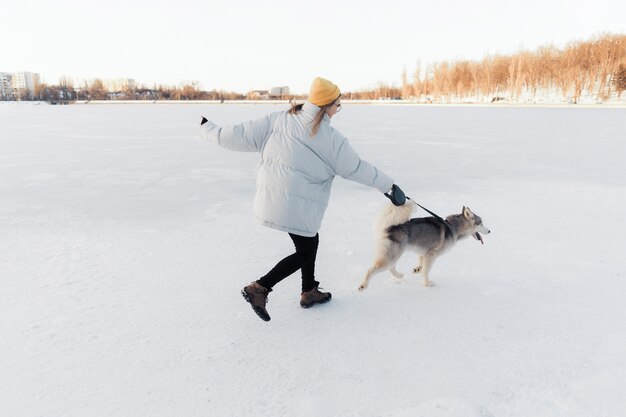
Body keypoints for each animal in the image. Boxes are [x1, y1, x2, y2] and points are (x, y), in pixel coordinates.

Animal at [356, 202, 488, 290]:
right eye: (481, 224)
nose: (490, 231)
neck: (452, 227)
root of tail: (390, 228)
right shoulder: (432, 254)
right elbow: (426, 270)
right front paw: (427, 283)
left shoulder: (423, 252)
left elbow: (421, 263)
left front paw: (417, 269)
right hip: (391, 255)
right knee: (372, 269)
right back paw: (363, 285)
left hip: (394, 254)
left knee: (391, 267)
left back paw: (399, 275)